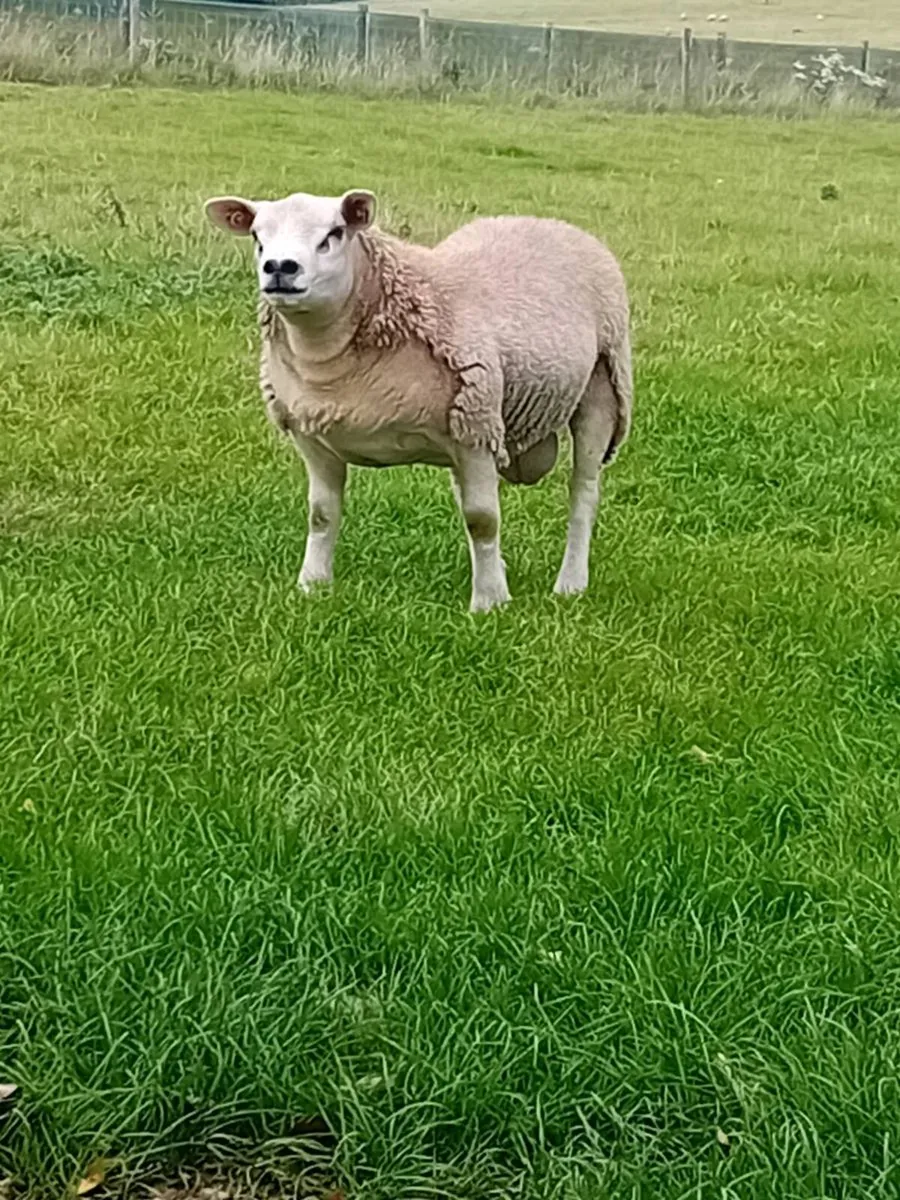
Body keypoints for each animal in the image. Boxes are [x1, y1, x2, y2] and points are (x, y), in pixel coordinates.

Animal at [204, 188, 633, 613]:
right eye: (257, 237)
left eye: (335, 233)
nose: (280, 267)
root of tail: (547, 222)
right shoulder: (313, 434)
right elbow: (321, 516)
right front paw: (312, 585)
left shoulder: (475, 430)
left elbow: (482, 520)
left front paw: (488, 603)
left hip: (603, 385)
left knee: (583, 493)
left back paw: (571, 582)